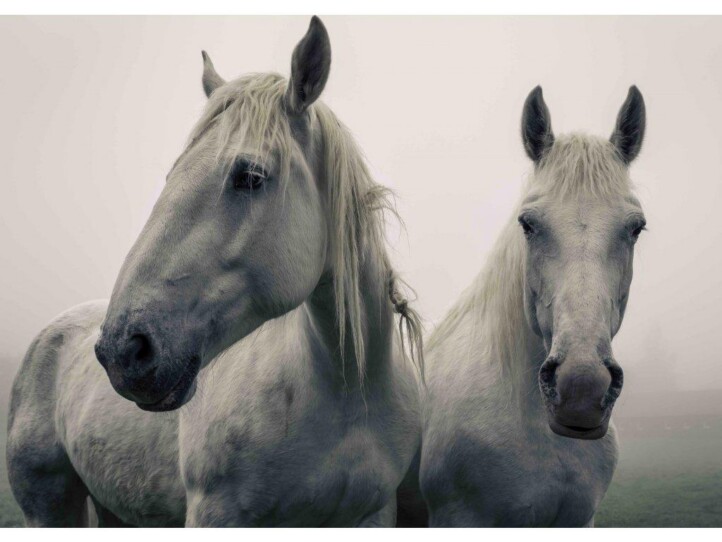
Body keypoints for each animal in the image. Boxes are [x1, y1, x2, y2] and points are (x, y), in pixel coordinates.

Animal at [7, 17, 423, 527]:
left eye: (250, 176)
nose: (123, 351)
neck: (345, 391)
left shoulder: (373, 514)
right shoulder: (216, 512)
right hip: (49, 506)